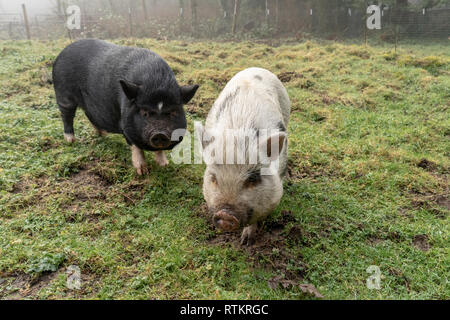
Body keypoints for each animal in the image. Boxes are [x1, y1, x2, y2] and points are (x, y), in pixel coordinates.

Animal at [52, 40, 199, 176]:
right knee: (67, 115)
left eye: (173, 112)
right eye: (144, 112)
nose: (160, 133)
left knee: (89, 114)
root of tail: (62, 53)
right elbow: (136, 148)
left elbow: (159, 151)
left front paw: (164, 165)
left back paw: (102, 134)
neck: (156, 82)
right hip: (64, 94)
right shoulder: (125, 125)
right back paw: (71, 140)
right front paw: (143, 172)